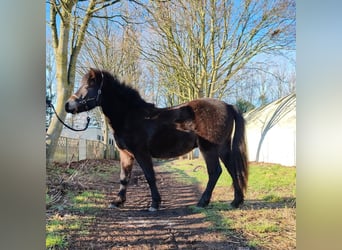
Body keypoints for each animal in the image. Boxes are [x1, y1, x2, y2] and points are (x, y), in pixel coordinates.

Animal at [65, 68, 248, 211]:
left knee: (215, 172)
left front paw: (155, 203)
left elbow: (150, 176)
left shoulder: (142, 153)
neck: (131, 115)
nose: (68, 105)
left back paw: (203, 202)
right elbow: (124, 177)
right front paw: (118, 201)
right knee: (232, 170)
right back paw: (236, 201)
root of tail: (228, 106)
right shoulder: (126, 154)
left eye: (88, 86)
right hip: (223, 148)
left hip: (208, 149)